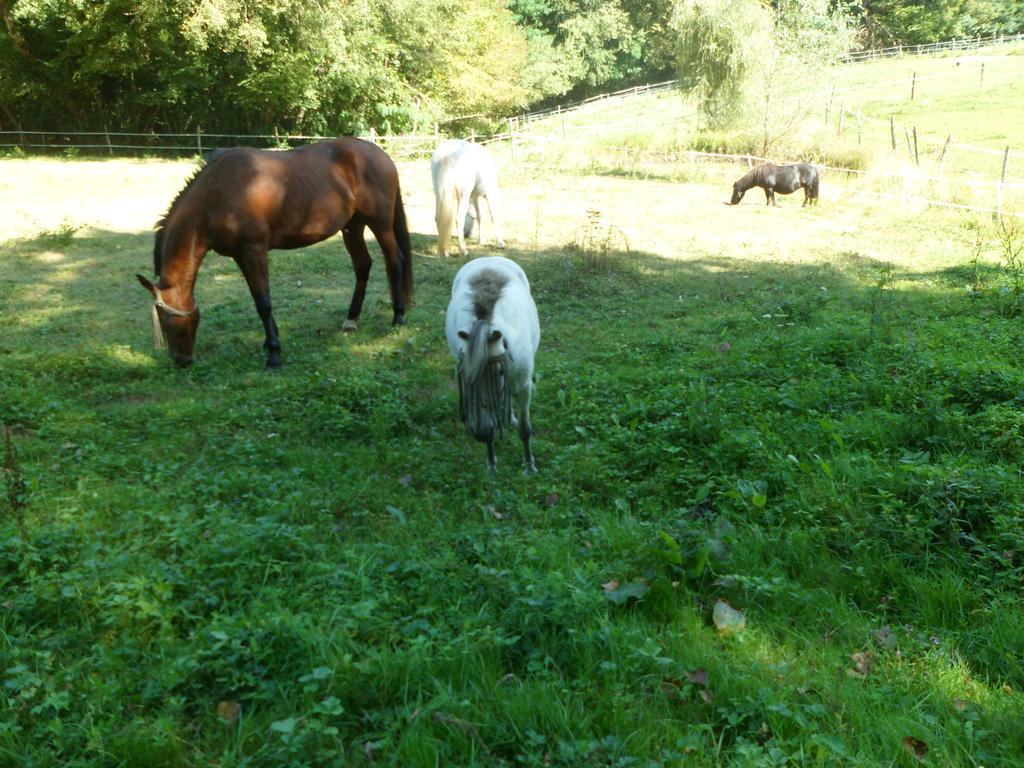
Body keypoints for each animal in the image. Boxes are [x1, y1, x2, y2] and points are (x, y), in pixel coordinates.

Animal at [138, 139, 413, 370]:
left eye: (167, 320)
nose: (180, 360)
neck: (217, 195)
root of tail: (383, 156)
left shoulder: (254, 250)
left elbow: (263, 301)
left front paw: (274, 354)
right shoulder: (240, 255)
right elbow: (256, 297)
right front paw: (270, 341)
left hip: (380, 224)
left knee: (395, 260)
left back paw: (398, 316)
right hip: (352, 226)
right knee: (363, 265)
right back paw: (351, 319)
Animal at [446, 257, 540, 475]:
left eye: (499, 374)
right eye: (466, 377)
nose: (479, 434)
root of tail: (487, 258)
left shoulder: (524, 387)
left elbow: (525, 429)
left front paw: (529, 466)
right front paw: (491, 465)